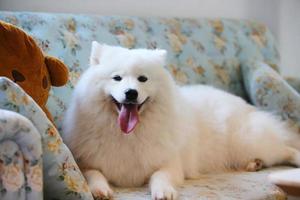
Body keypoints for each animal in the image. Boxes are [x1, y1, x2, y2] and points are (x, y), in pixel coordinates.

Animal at [63, 41, 300, 199]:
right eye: (117, 78)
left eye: (143, 79)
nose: (131, 93)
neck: (129, 135)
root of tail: (241, 103)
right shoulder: (85, 161)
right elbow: (93, 174)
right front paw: (100, 189)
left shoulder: (171, 163)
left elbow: (160, 175)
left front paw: (163, 191)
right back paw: (255, 164)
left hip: (246, 141)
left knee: (285, 148)